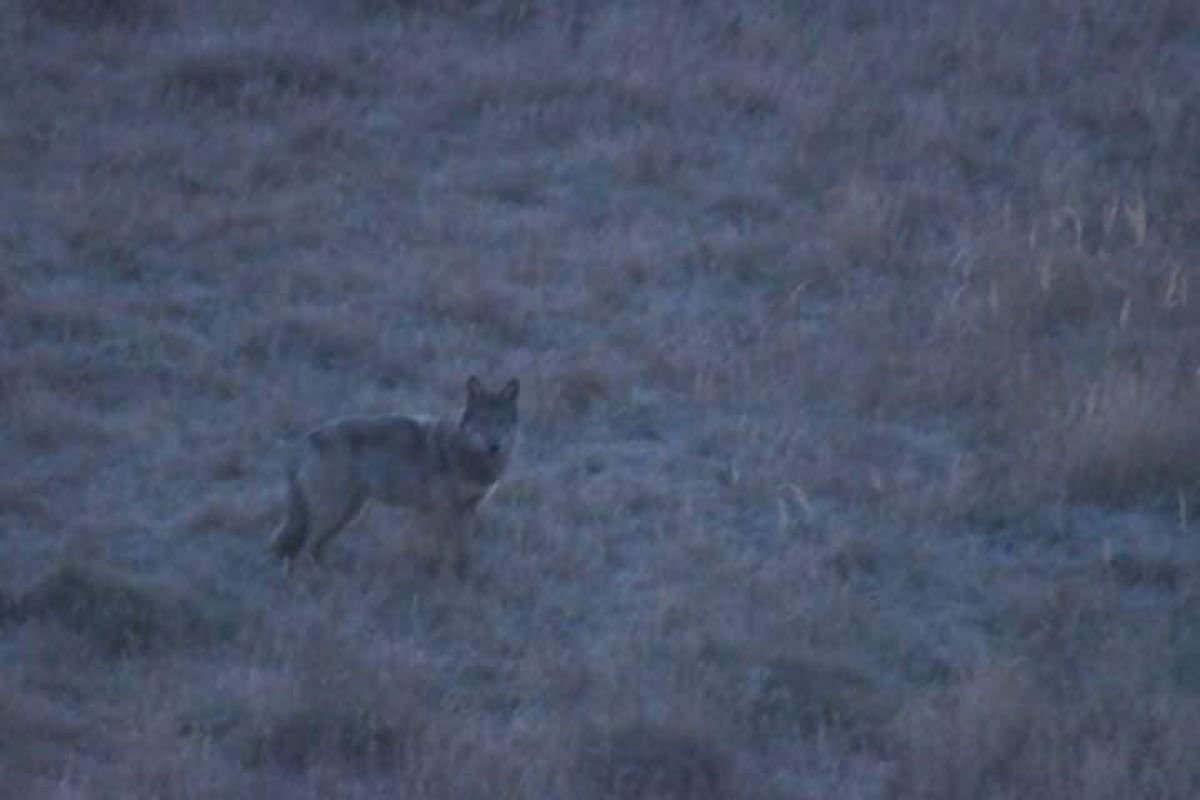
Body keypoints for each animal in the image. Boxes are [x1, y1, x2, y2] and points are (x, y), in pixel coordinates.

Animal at [272, 376, 520, 575]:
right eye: (482, 421)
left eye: (501, 422)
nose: (494, 445)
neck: (467, 455)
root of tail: (309, 438)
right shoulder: (443, 510)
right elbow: (445, 550)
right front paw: (445, 578)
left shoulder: (468, 509)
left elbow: (464, 551)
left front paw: (464, 576)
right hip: (335, 513)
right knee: (305, 549)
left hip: (348, 514)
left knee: (313, 548)